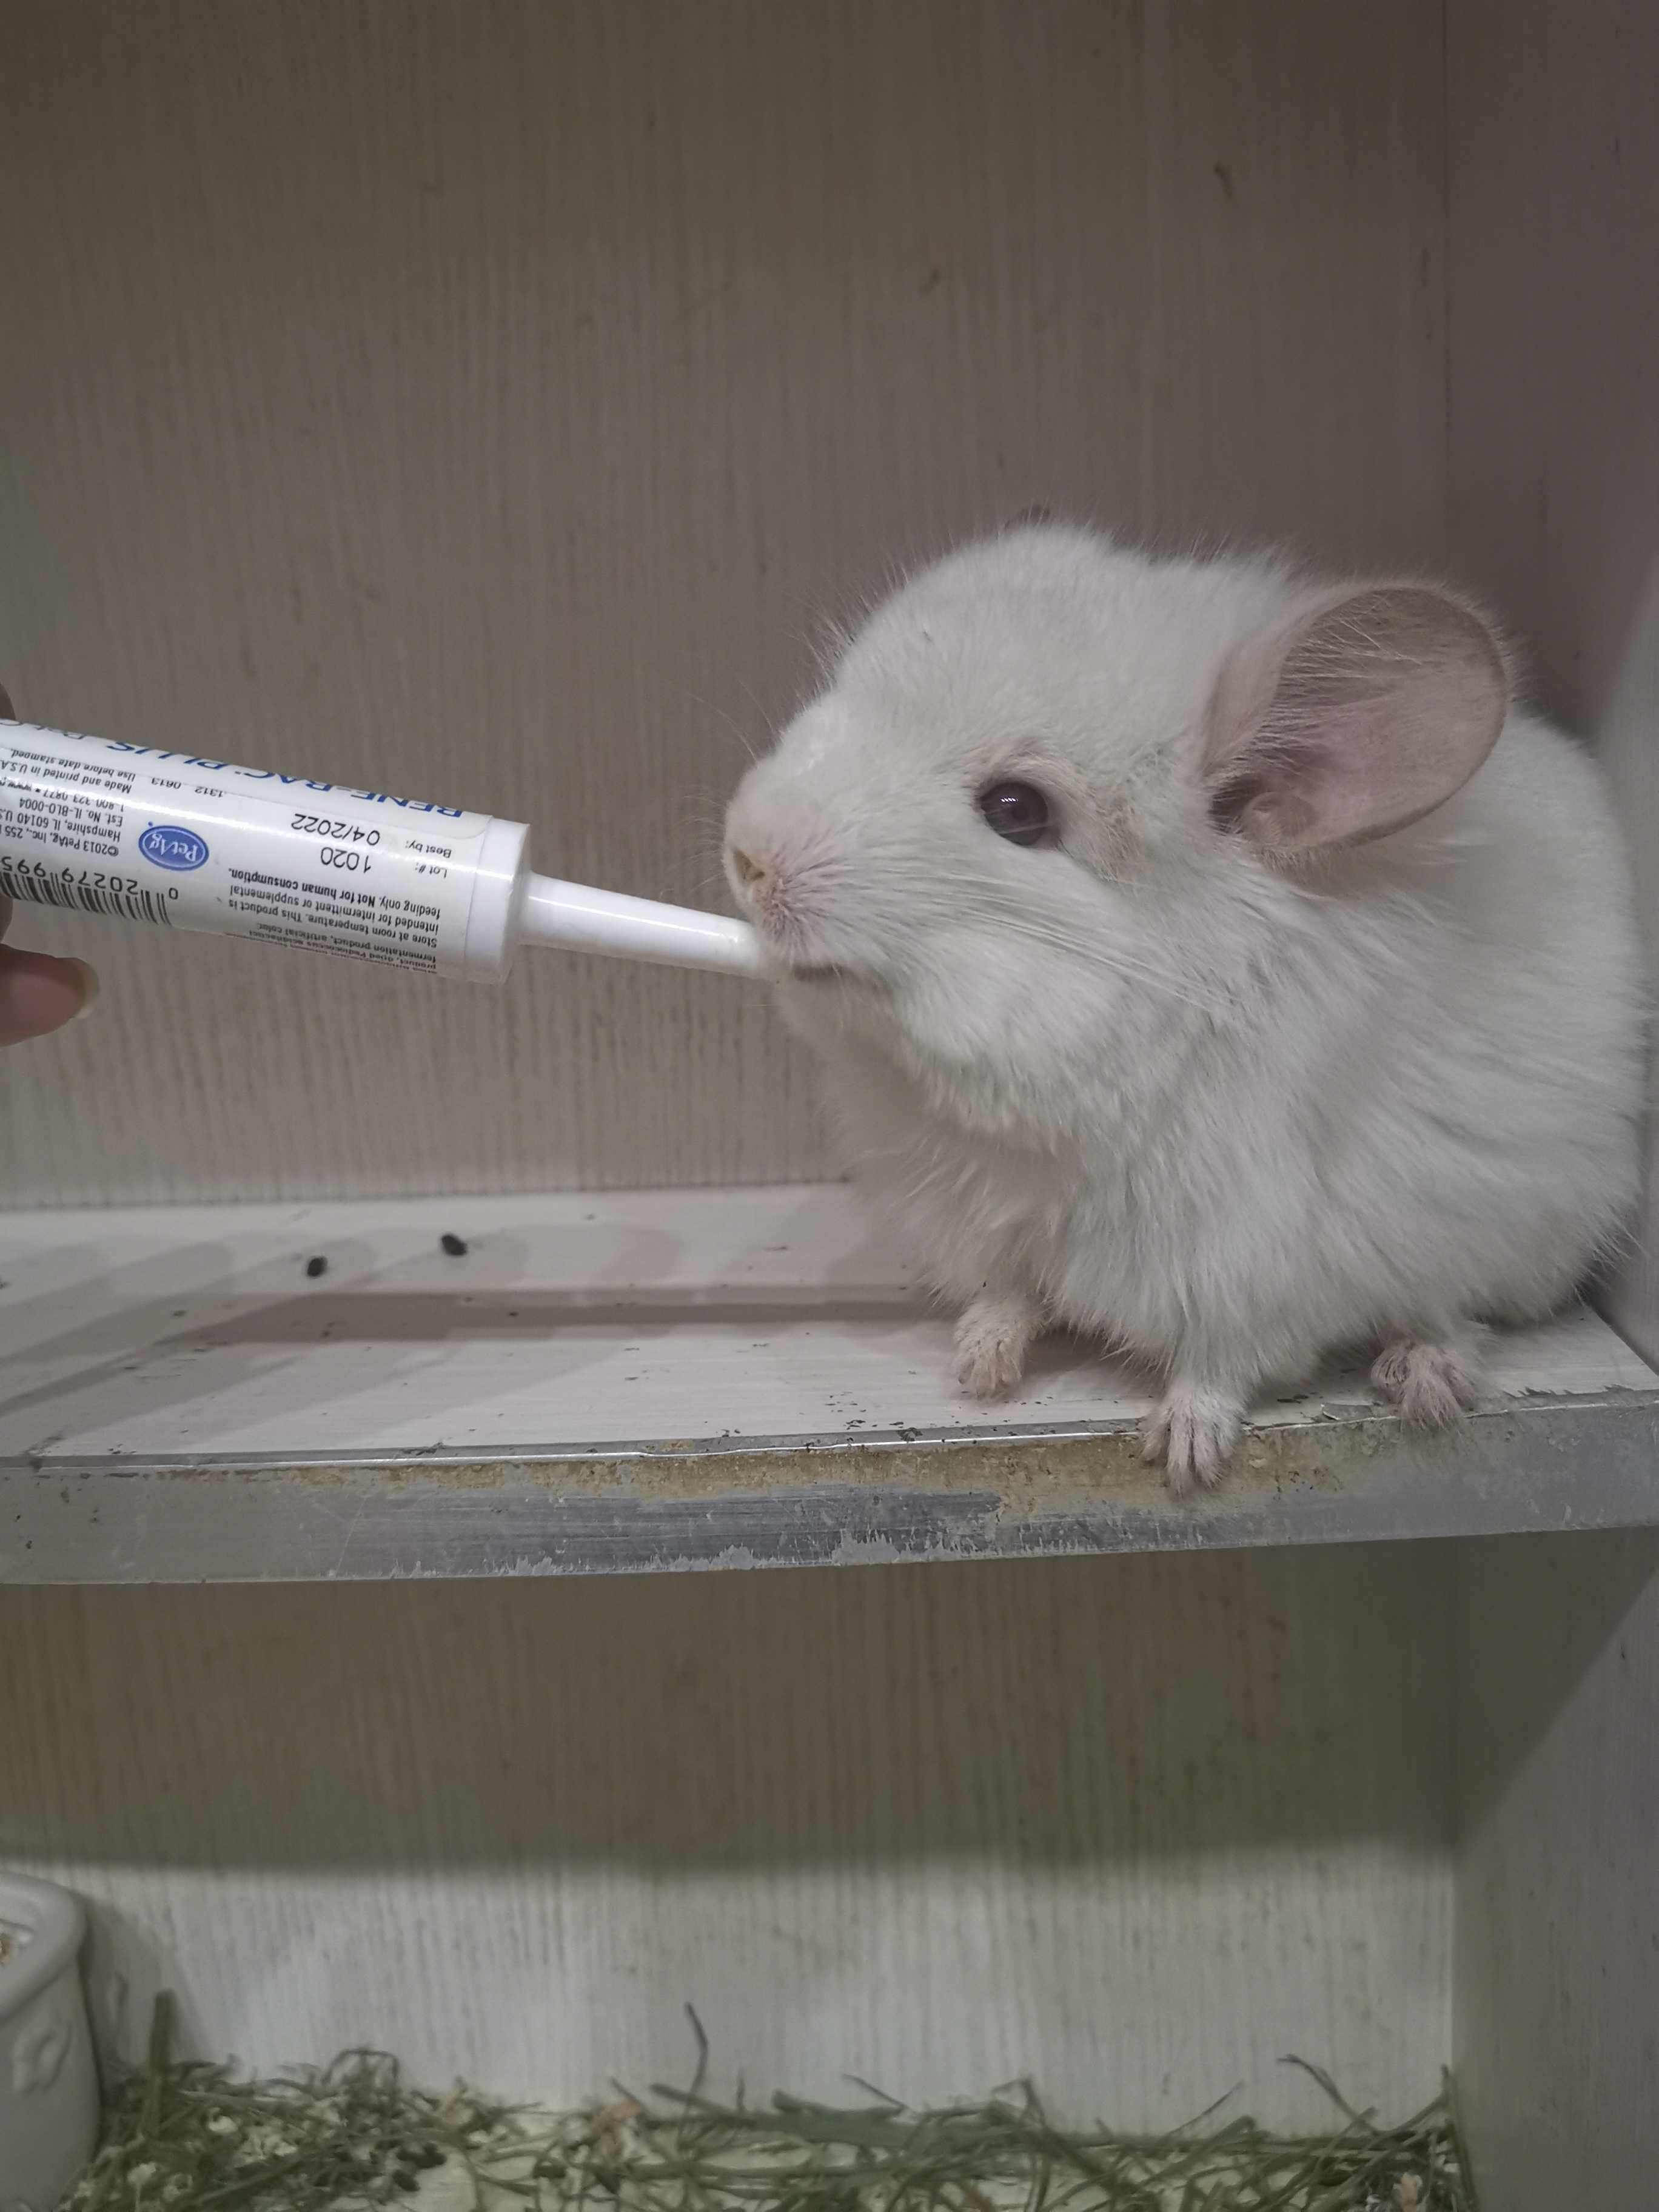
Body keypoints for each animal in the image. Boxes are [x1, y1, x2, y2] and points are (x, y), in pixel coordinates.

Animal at [723, 522, 1645, 1492]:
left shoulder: (1254, 1267)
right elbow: (1011, 1293)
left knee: (1456, 1315)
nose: (748, 857)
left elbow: (1217, 1366)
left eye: (1016, 809)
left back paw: (1422, 1379)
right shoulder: (1001, 1224)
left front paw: (1184, 1456)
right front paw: (978, 1369)